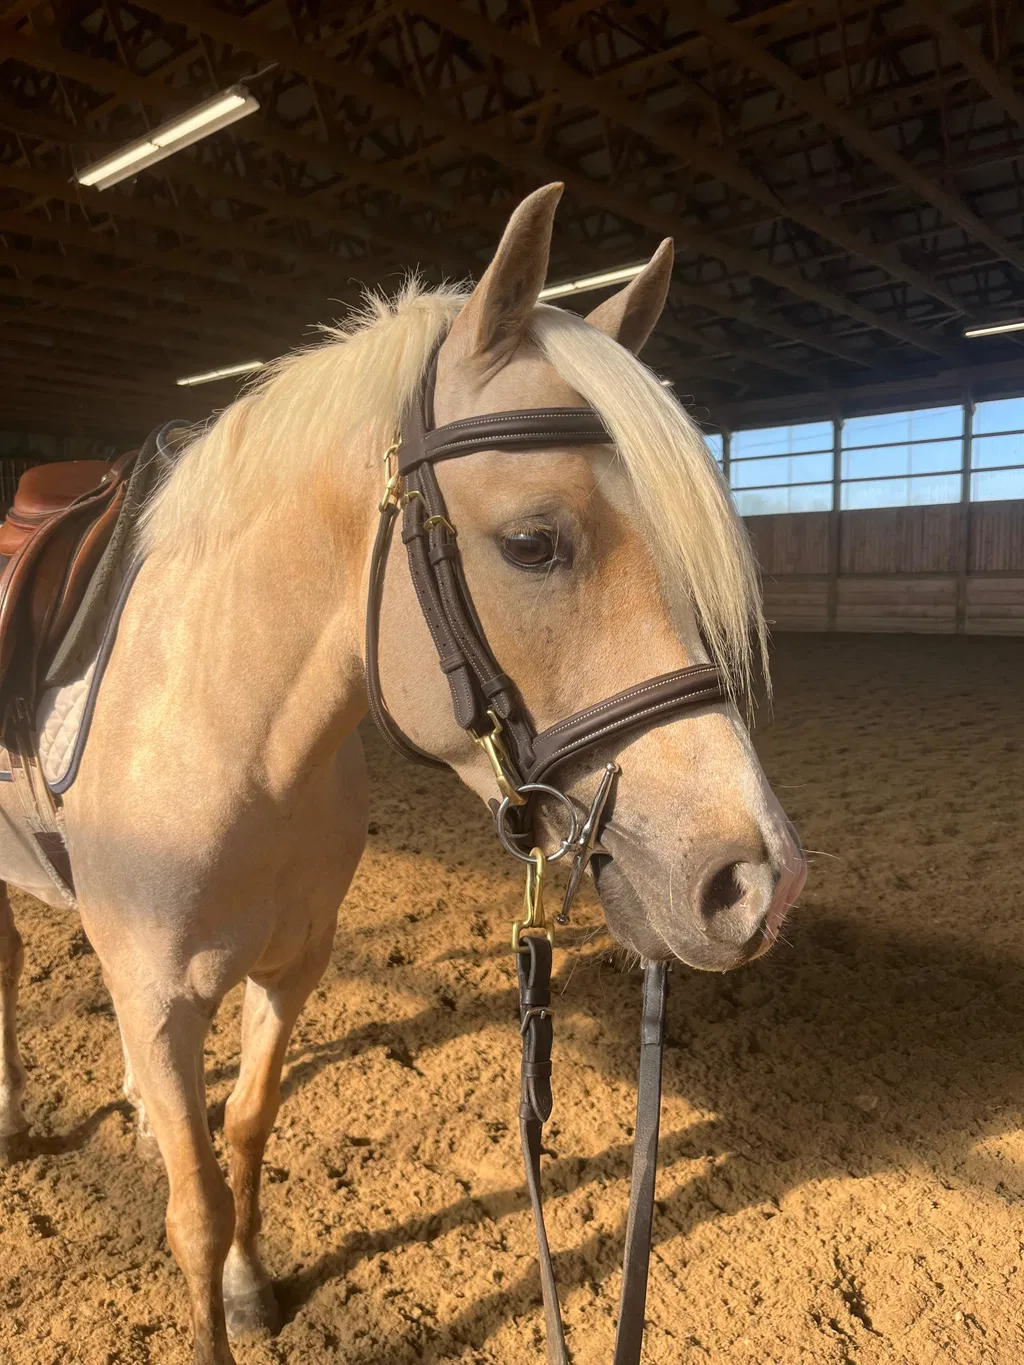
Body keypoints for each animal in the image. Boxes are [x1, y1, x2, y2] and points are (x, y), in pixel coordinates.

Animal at [0, 183, 806, 1365]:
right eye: (531, 543)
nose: (755, 882)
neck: (221, 727)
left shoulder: (288, 970)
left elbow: (244, 1130)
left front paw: (251, 1286)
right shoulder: (157, 992)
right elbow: (194, 1209)